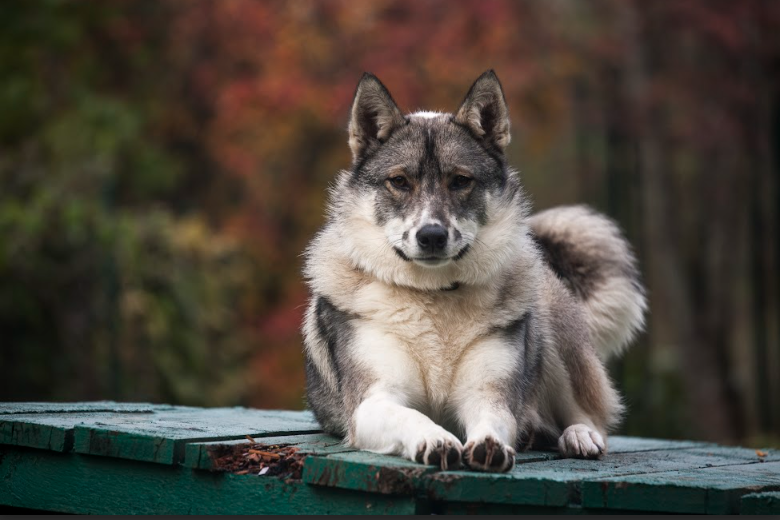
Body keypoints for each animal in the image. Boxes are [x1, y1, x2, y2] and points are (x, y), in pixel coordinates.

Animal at [300, 69, 644, 472]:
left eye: (460, 181)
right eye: (399, 181)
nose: (431, 236)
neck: (433, 296)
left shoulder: (489, 394)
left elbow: (494, 419)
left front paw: (490, 445)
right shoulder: (373, 400)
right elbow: (411, 416)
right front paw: (435, 439)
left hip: (553, 336)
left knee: (588, 411)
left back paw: (578, 436)